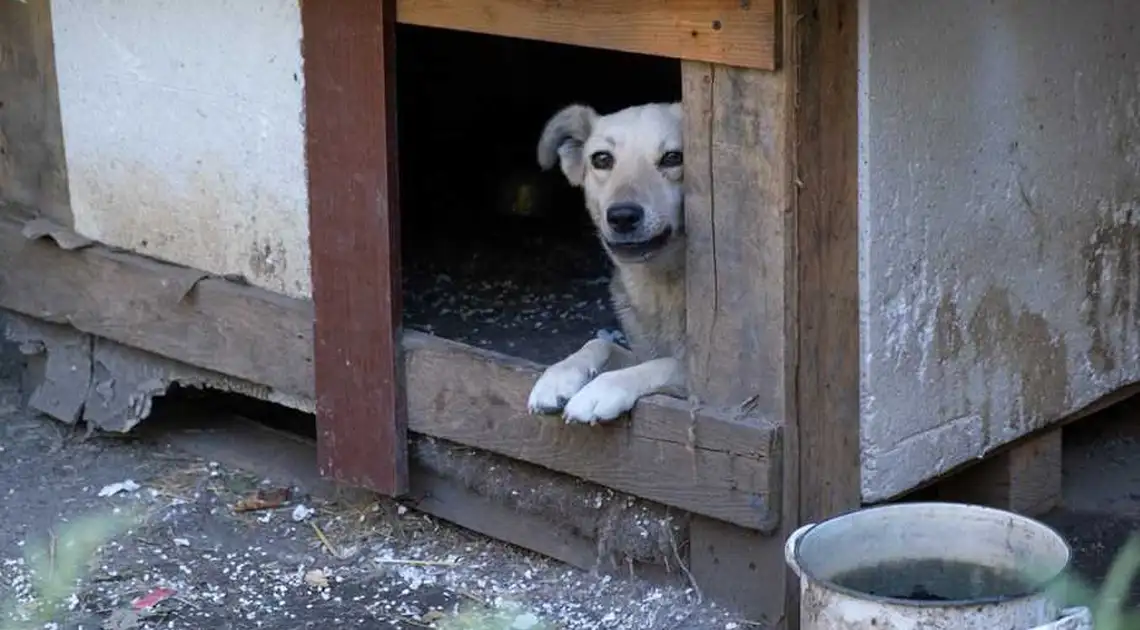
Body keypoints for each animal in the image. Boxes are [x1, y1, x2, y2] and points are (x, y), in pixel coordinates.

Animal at [524, 103, 684, 426]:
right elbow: (598, 344)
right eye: (602, 159)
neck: (660, 286)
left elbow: (664, 364)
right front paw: (557, 377)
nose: (622, 216)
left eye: (674, 157)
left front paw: (601, 390)